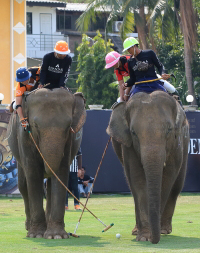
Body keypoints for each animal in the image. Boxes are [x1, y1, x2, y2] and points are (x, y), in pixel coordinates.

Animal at [6, 88, 85, 238]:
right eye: (35, 125)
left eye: (68, 126)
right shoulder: (24, 135)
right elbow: (33, 173)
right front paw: (36, 235)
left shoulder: (69, 140)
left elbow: (61, 173)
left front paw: (56, 236)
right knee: (23, 184)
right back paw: (29, 227)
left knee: (49, 186)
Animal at [106, 91, 189, 243]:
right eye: (133, 132)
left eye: (169, 130)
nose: (153, 239)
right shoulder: (129, 146)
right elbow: (137, 180)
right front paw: (144, 236)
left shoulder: (177, 143)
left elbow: (167, 179)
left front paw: (152, 234)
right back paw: (136, 231)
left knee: (177, 186)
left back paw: (164, 230)